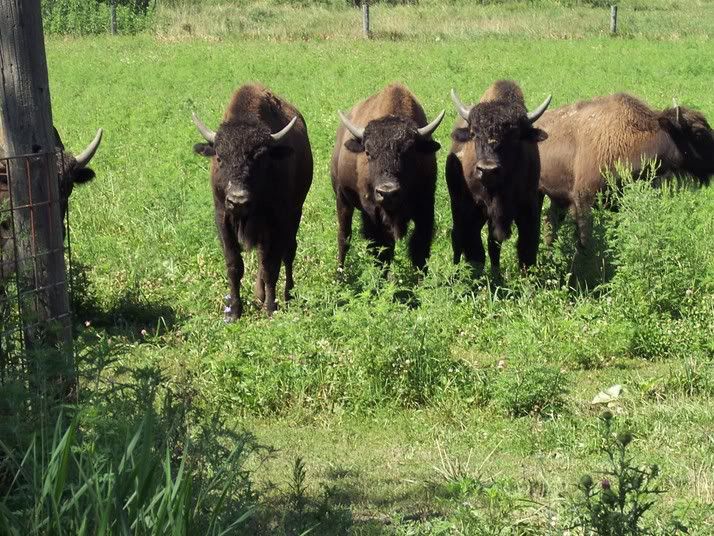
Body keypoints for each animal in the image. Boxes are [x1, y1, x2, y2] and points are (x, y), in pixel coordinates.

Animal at [192, 82, 312, 320]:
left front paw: (271, 308)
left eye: (260, 157)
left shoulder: (277, 221)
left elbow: (271, 266)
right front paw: (234, 311)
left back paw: (287, 294)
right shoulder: (223, 217)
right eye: (219, 157)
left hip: (296, 213)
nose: (238, 200)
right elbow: (234, 265)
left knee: (288, 252)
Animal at [330, 82, 442, 272]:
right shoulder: (373, 213)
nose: (387, 192)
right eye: (368, 152)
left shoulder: (425, 206)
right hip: (342, 199)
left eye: (410, 151)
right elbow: (382, 250)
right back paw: (340, 273)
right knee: (344, 237)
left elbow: (420, 249)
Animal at [444, 80, 552, 276]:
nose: (487, 169)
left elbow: (526, 248)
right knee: (459, 237)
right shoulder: (473, 209)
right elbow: (477, 251)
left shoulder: (528, 208)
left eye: (515, 135)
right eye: (474, 134)